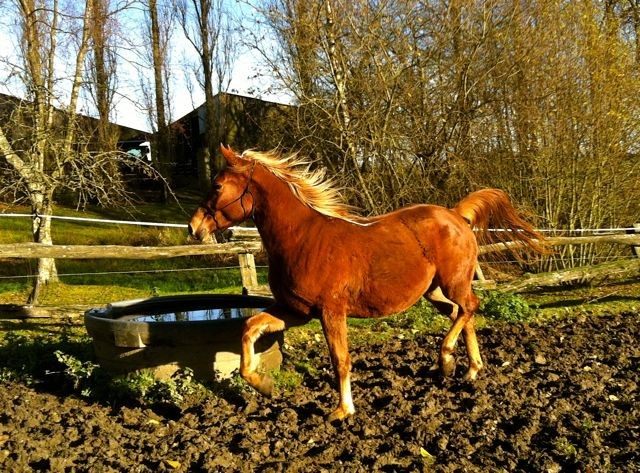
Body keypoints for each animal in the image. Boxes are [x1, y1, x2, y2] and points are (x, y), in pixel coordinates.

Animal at [188, 146, 544, 418]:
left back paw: (446, 360)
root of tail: (456, 215)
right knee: (462, 314)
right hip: (435, 293)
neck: (303, 238)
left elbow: (340, 360)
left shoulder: (331, 312)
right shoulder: (295, 312)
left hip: (453, 284)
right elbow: (249, 329)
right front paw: (263, 385)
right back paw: (469, 369)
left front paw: (342, 411)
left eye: (217, 186)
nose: (193, 227)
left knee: (470, 307)